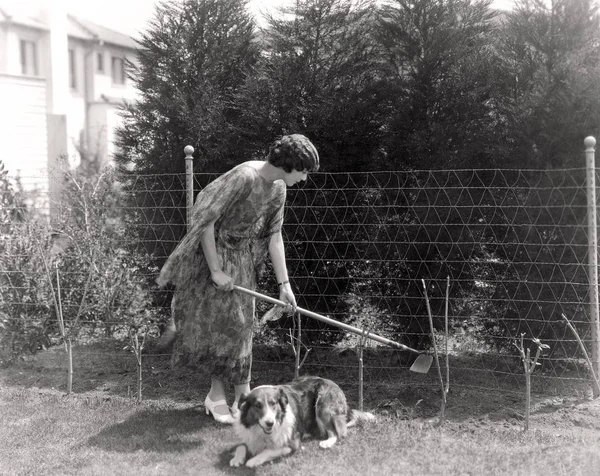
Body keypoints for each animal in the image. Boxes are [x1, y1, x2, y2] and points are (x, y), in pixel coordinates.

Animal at [230, 378, 376, 466]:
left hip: (323, 405)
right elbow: (241, 446)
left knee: (336, 432)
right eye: (257, 405)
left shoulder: (293, 443)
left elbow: (269, 450)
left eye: (273, 404)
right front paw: (237, 459)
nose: (270, 423)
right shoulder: (248, 436)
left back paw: (327, 442)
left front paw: (253, 460)